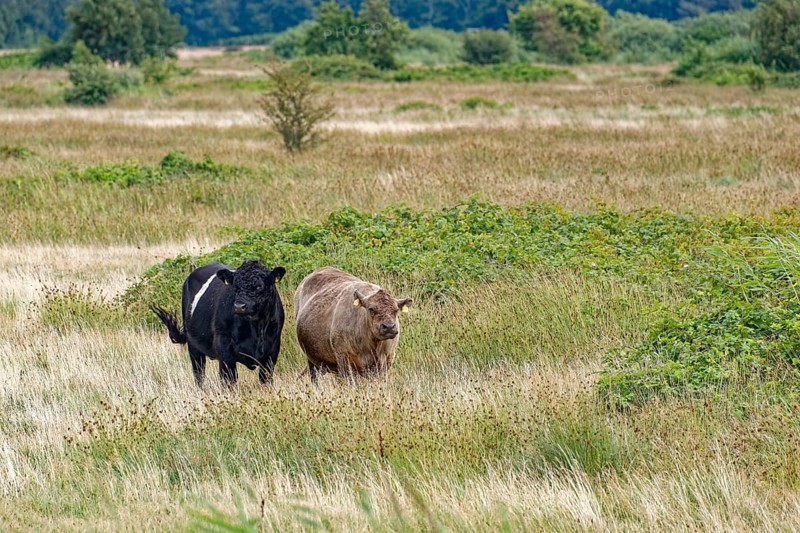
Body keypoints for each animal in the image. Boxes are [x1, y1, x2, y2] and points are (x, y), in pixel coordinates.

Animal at [152, 260, 286, 387]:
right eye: (235, 286)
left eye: (259, 286)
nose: (239, 306)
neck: (256, 328)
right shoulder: (224, 347)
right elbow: (228, 379)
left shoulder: (272, 349)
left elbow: (266, 379)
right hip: (193, 346)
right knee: (199, 374)